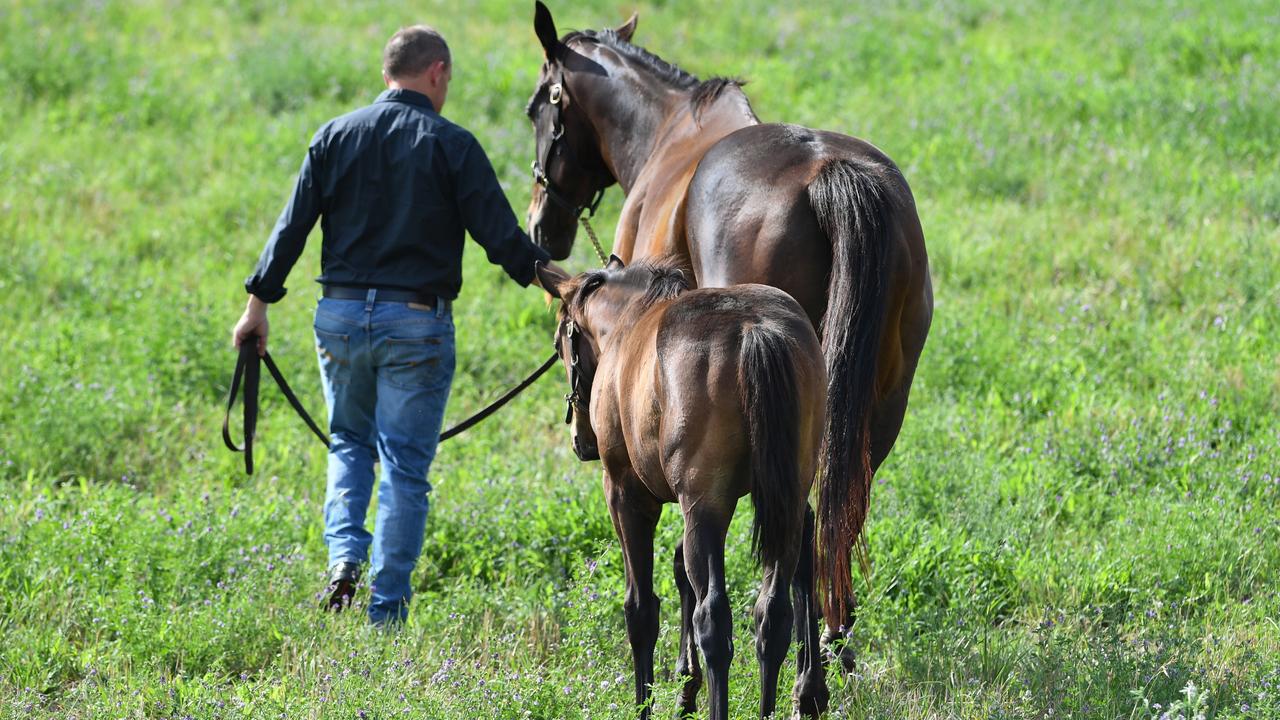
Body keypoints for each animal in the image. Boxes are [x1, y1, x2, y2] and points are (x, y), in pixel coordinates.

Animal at [535, 257, 824, 717]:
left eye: (562, 343)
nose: (582, 442)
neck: (629, 320)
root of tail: (755, 330)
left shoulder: (627, 496)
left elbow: (641, 610)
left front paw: (645, 704)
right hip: (788, 501)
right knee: (773, 613)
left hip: (704, 509)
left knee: (714, 620)